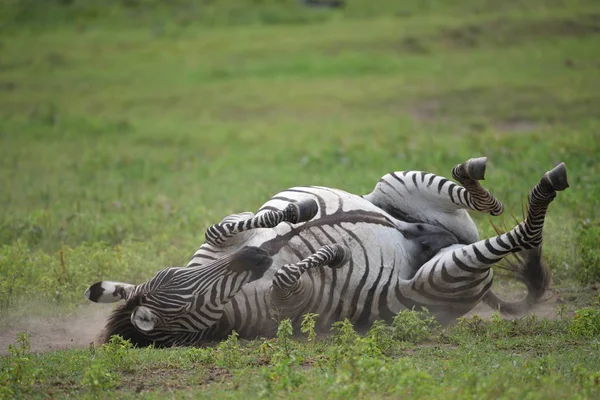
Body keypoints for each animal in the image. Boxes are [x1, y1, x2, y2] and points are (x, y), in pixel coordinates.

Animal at [83, 156, 568, 346]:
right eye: (200, 300)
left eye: (186, 281)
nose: (258, 259)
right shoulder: (292, 306)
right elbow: (287, 277)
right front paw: (330, 253)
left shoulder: (217, 240)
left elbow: (225, 223)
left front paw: (295, 211)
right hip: (441, 277)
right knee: (518, 236)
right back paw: (547, 184)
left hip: (396, 184)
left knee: (487, 204)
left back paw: (473, 174)